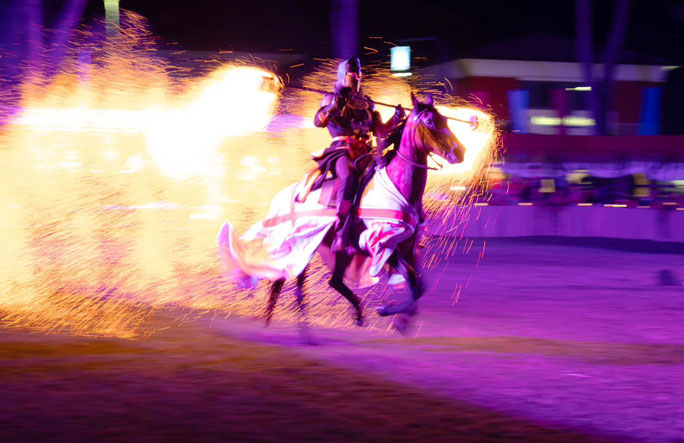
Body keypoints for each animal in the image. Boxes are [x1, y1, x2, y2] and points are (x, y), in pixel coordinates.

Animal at [219, 93, 464, 330]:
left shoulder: (406, 247)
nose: (459, 152)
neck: (397, 185)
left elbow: (419, 286)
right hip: (303, 244)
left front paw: (394, 313)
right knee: (292, 278)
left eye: (444, 119)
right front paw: (394, 315)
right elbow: (413, 282)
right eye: (430, 121)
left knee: (325, 282)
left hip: (334, 250)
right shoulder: (383, 244)